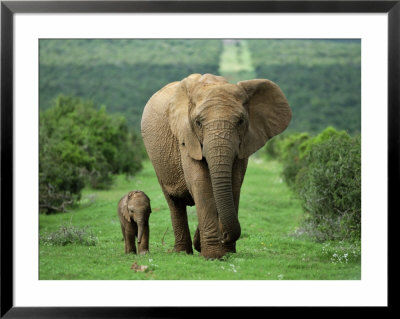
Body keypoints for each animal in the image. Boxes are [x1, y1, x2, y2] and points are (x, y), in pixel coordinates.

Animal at [141, 74, 290, 260]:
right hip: (158, 162)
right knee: (174, 202)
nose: (224, 236)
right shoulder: (186, 137)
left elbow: (234, 183)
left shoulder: (244, 142)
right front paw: (212, 255)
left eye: (241, 121)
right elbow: (201, 183)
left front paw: (226, 252)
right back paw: (182, 252)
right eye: (198, 122)